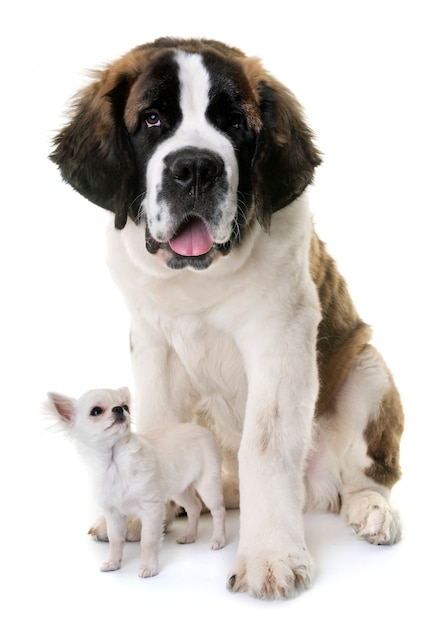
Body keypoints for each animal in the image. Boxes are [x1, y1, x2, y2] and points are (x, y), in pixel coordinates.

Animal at [45, 386, 226, 576]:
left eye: (126, 406)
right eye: (96, 411)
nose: (119, 409)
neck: (115, 464)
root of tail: (203, 430)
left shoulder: (151, 509)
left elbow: (148, 540)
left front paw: (148, 567)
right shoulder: (114, 514)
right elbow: (115, 539)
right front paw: (112, 563)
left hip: (207, 484)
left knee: (218, 510)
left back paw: (218, 539)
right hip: (179, 490)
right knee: (194, 507)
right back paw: (190, 536)